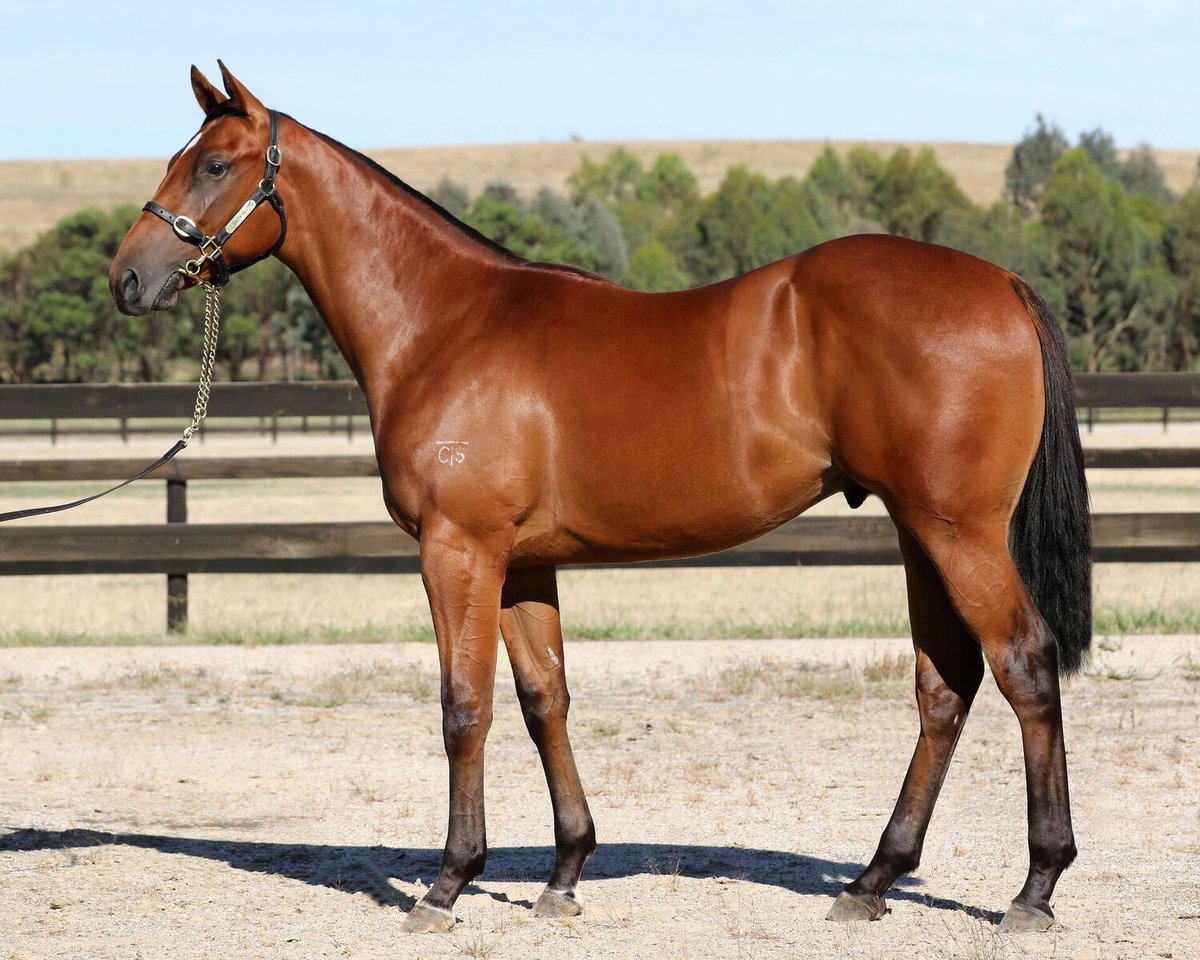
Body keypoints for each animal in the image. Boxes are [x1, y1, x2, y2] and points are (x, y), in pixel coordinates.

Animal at [110, 63, 1092, 935]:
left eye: (214, 164)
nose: (127, 278)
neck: (445, 325)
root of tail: (1001, 283)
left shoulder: (457, 548)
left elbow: (463, 706)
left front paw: (448, 883)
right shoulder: (520, 564)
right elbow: (545, 699)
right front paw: (565, 872)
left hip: (960, 532)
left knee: (1024, 664)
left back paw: (1035, 889)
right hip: (919, 530)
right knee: (946, 686)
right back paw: (873, 880)